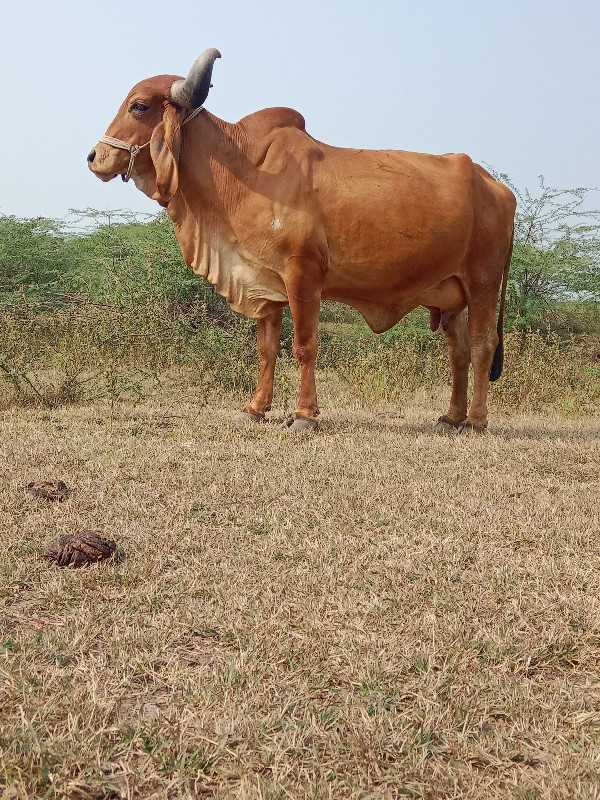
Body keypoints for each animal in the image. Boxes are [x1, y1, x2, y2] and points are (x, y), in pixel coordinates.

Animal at [89, 47, 516, 434]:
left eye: (139, 106)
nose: (94, 157)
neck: (240, 170)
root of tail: (498, 188)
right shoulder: (264, 282)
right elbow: (267, 350)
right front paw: (255, 408)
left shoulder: (303, 275)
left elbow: (305, 346)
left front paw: (304, 416)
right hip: (450, 295)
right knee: (459, 353)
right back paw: (452, 417)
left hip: (482, 282)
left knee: (482, 346)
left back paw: (476, 421)